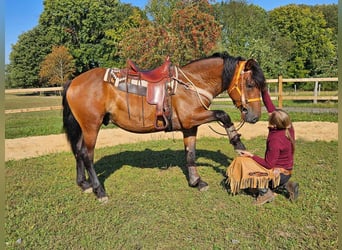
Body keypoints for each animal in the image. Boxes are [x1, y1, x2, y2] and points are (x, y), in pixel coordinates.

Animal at [61, 51, 266, 202]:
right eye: (249, 84)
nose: (255, 116)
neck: (192, 84)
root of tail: (73, 81)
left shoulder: (190, 126)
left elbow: (190, 154)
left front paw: (196, 181)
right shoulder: (192, 118)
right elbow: (223, 115)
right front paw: (238, 144)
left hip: (83, 127)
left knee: (78, 152)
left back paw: (84, 184)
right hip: (91, 126)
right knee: (87, 155)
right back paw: (99, 190)